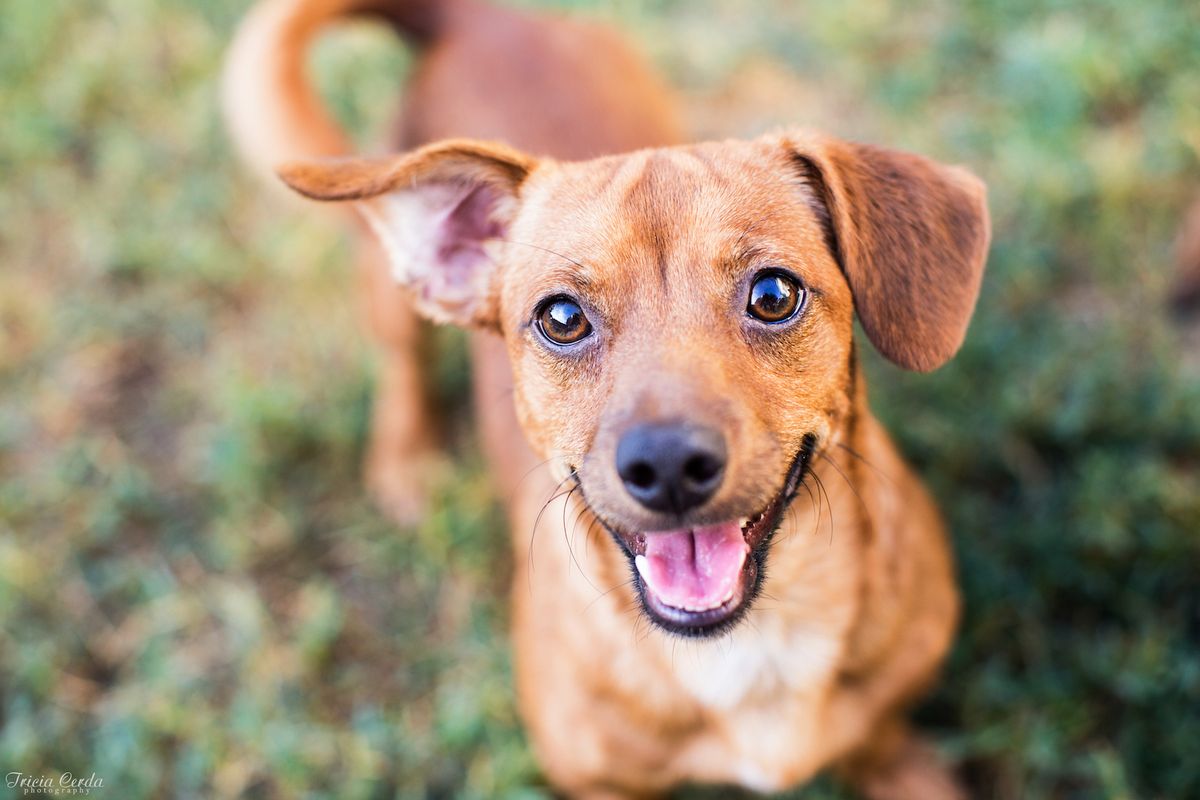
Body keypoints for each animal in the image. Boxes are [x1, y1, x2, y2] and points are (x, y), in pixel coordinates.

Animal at [225, 3, 993, 796]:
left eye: (774, 295)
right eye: (562, 318)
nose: (670, 466)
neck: (750, 654)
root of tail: (478, 19)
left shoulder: (892, 742)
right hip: (391, 298)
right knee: (402, 363)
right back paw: (407, 462)